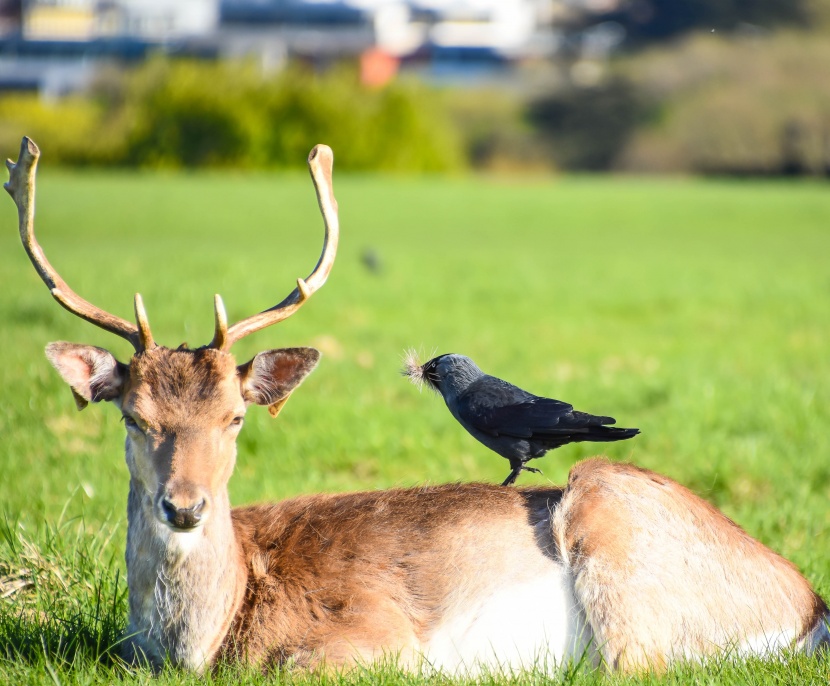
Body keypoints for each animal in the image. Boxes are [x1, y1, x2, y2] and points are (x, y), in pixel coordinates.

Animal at [6, 137, 830, 676]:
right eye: (133, 415)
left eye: (235, 417)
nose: (185, 506)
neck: (203, 642)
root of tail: (805, 607)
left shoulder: (373, 635)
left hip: (615, 523)